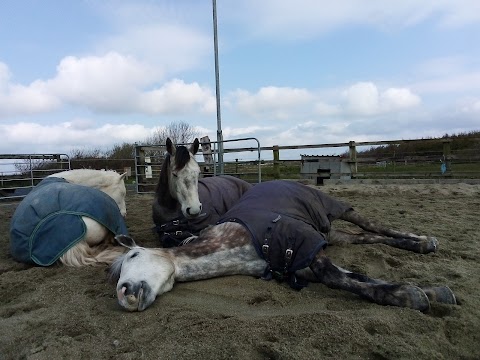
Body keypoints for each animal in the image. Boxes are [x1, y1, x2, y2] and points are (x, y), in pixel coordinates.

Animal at [109, 180, 458, 312]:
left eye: (134, 255)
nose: (124, 293)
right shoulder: (300, 261)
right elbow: (358, 277)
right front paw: (432, 293)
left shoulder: (302, 243)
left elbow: (340, 278)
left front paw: (411, 296)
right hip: (331, 233)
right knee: (366, 238)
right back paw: (421, 245)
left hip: (333, 208)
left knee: (372, 225)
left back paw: (425, 242)